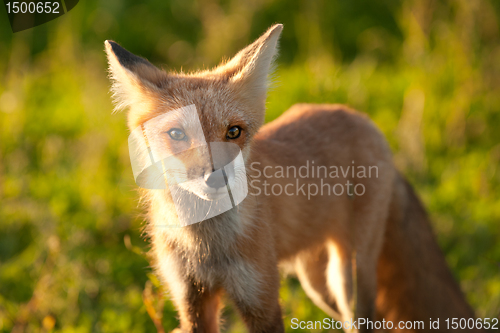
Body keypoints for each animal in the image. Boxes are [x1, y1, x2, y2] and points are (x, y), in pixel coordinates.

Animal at [104, 24, 480, 332]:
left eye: (234, 132)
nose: (216, 178)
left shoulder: (261, 298)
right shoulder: (192, 301)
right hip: (318, 285)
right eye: (177, 134)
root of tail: (360, 117)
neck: (208, 247)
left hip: (350, 279)